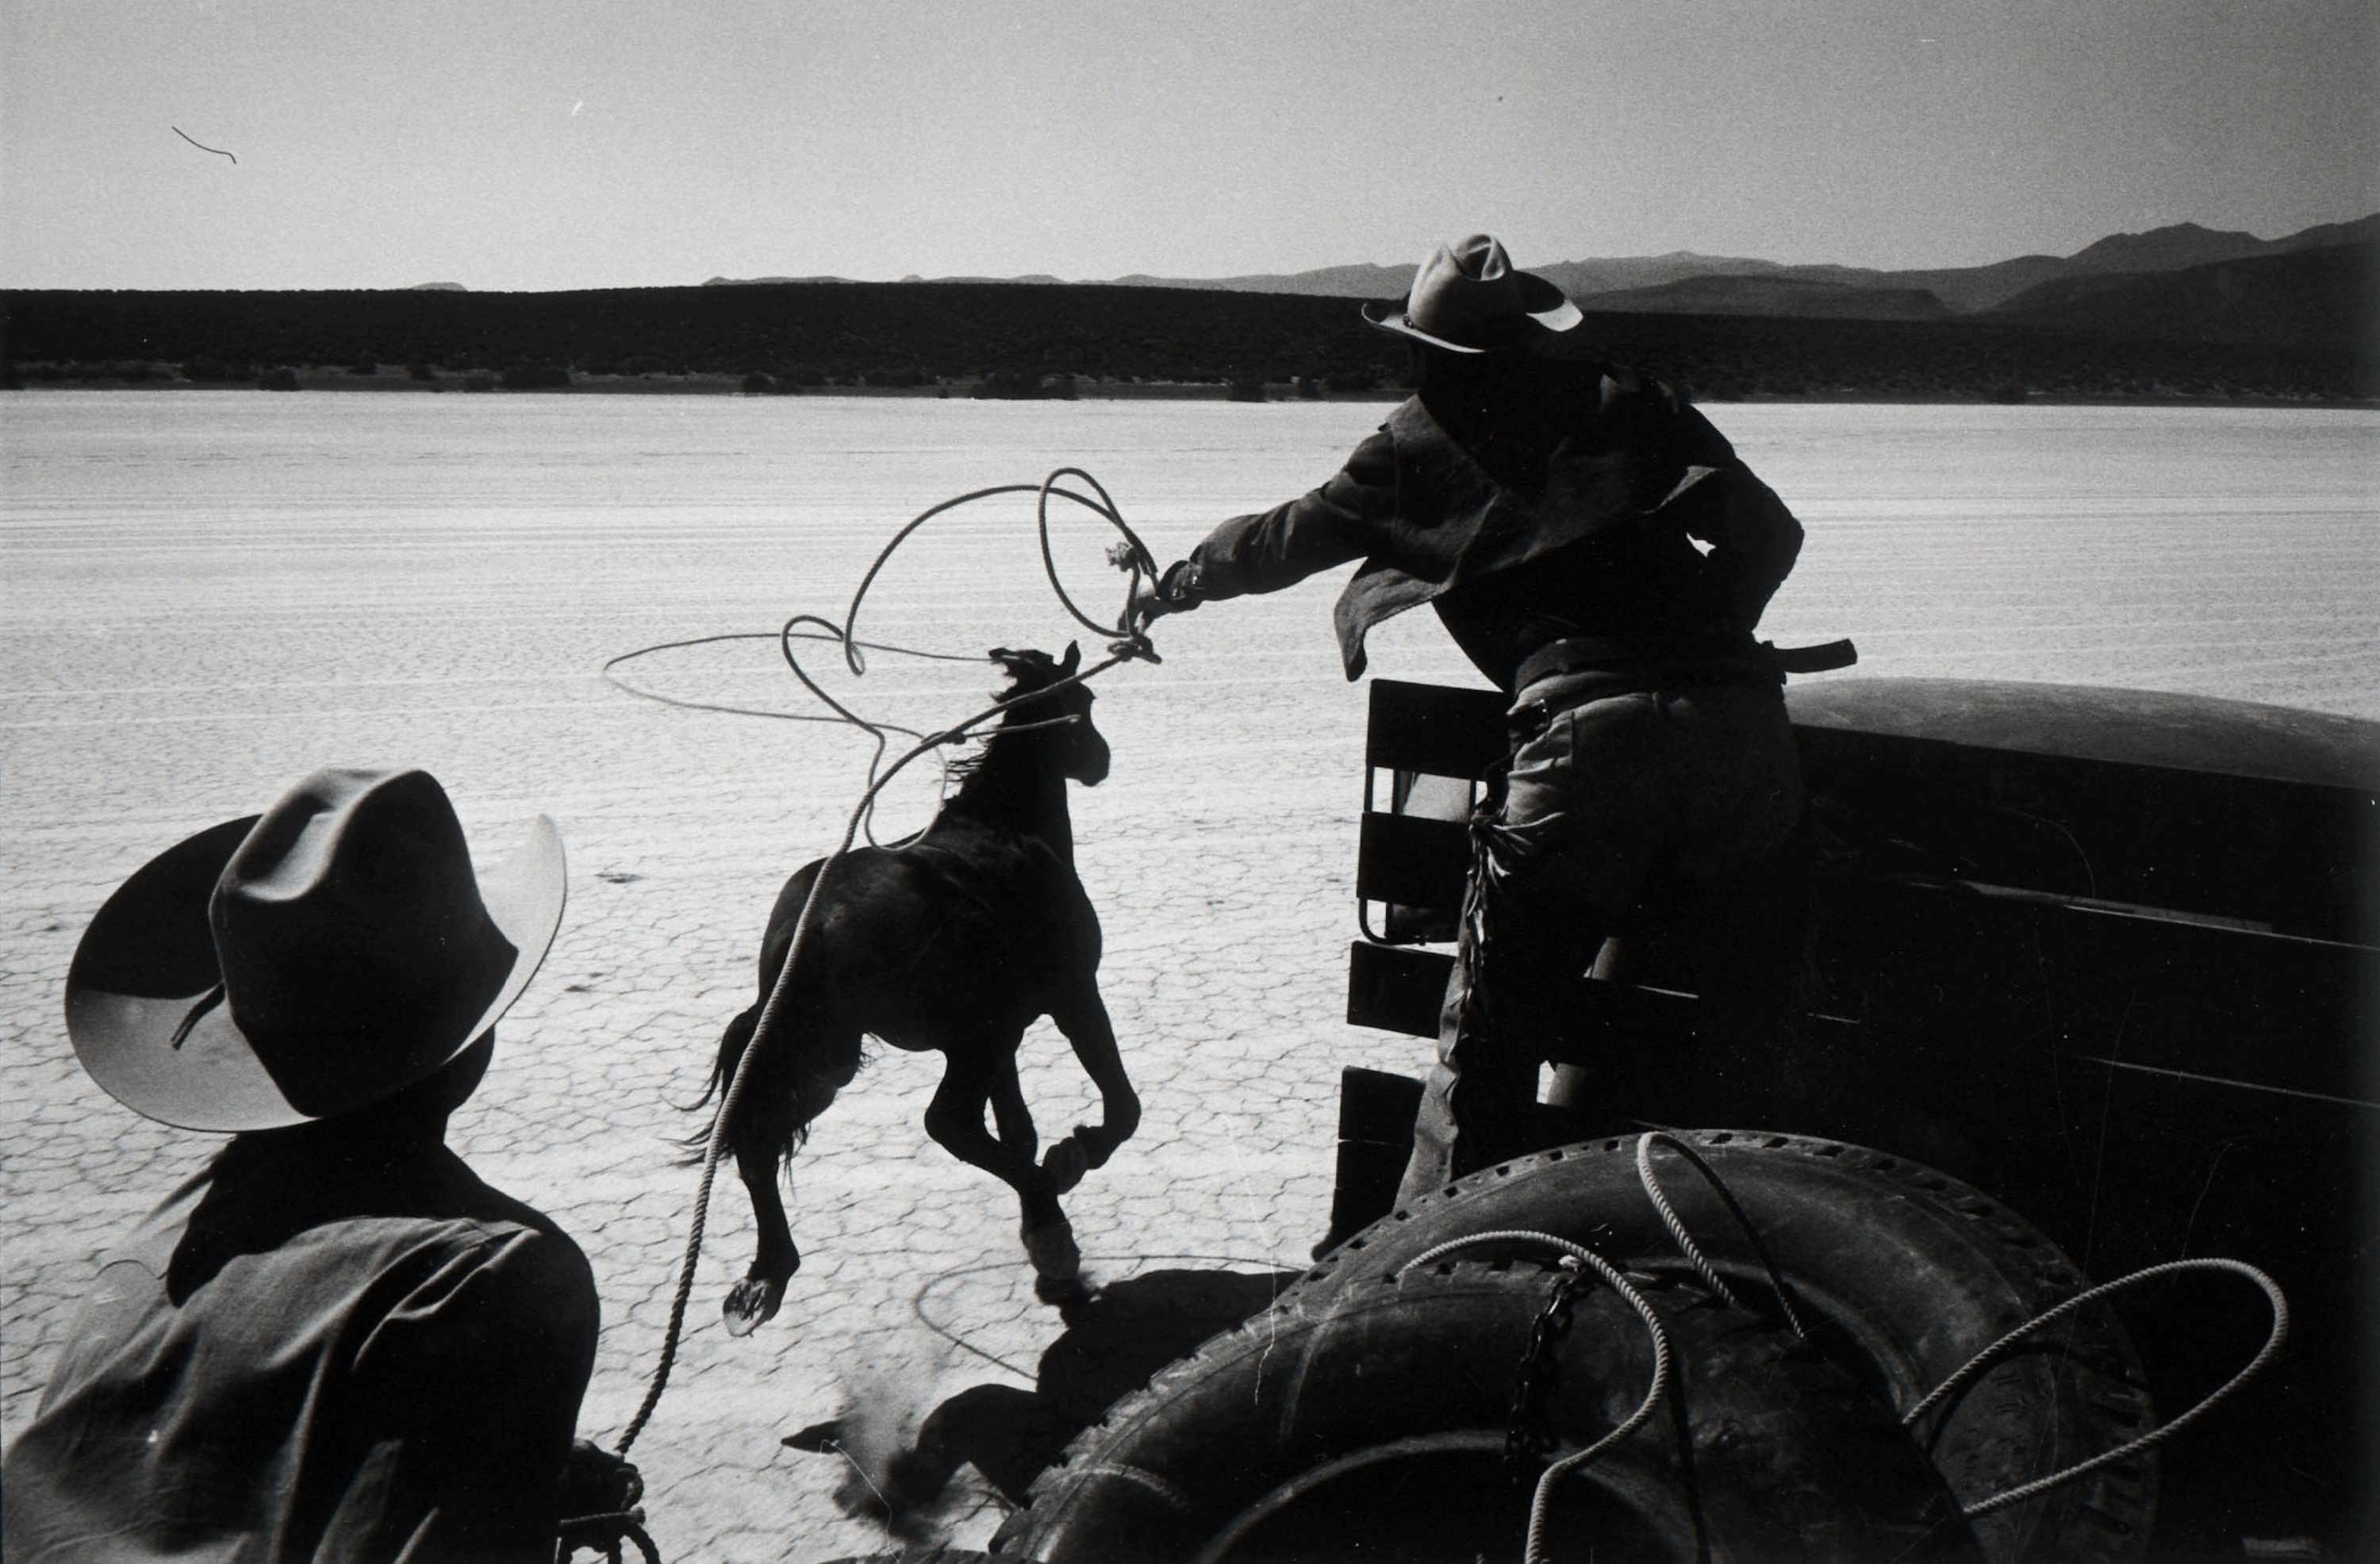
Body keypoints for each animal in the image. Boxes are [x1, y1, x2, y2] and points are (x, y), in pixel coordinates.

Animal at [701, 642, 1141, 1335]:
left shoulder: (1007, 1034)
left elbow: (1017, 1129)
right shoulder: (1071, 996)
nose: (1100, 760)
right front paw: (1072, 1161)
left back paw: (765, 1275)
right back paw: (1054, 1218)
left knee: (758, 1139)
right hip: (959, 1043)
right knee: (948, 1122)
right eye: (1083, 702)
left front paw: (1040, 1225)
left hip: (827, 1056)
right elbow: (1119, 1105)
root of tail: (815, 926)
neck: (1005, 829)